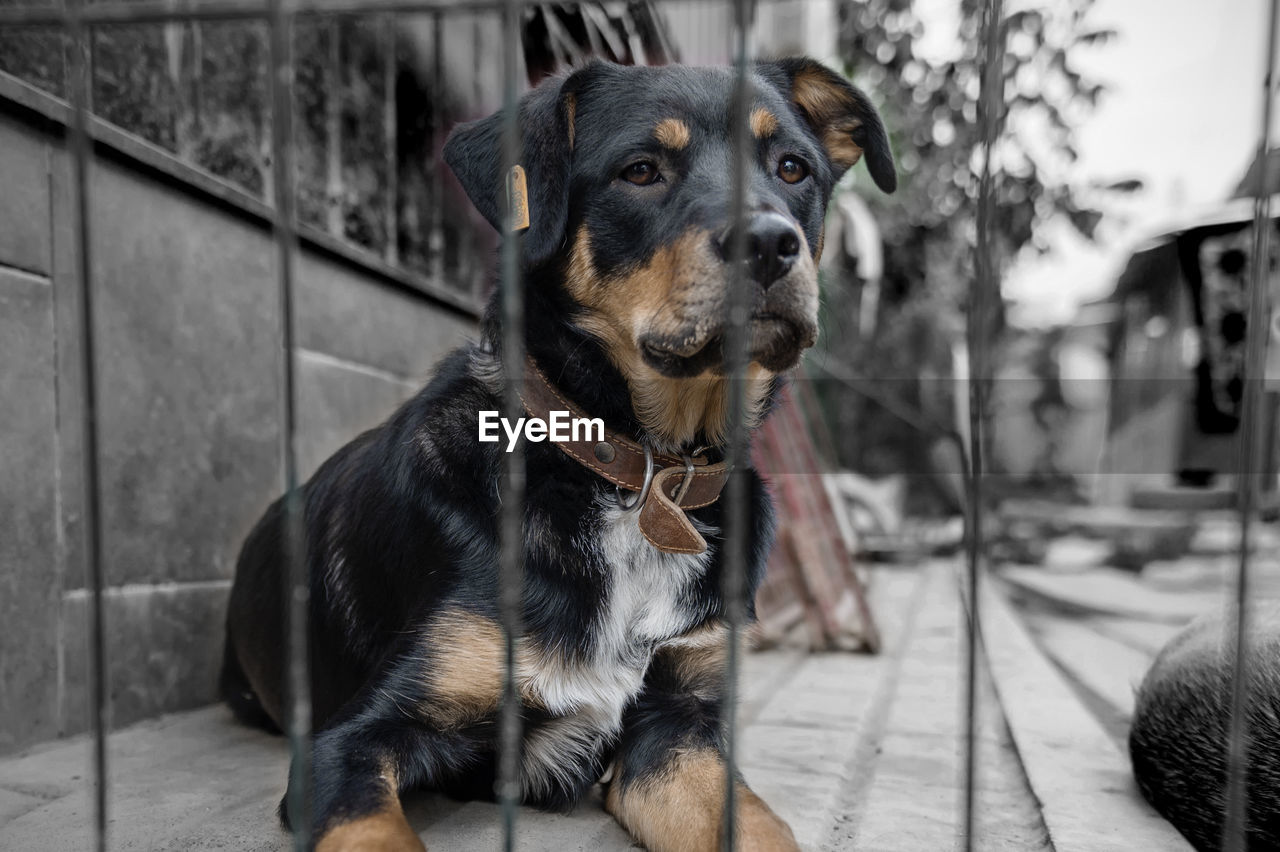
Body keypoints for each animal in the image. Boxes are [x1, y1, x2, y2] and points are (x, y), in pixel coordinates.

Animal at [220, 56, 896, 844]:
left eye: (792, 168)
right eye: (640, 171)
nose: (769, 243)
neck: (635, 476)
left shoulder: (676, 731)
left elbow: (758, 827)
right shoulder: (347, 743)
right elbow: (374, 829)